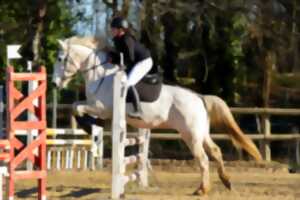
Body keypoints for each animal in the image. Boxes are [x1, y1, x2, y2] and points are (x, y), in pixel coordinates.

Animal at [52, 36, 262, 195]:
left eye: (61, 59)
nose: (54, 84)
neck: (100, 76)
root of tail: (199, 97)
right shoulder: (97, 108)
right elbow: (75, 105)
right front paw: (90, 127)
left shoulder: (101, 108)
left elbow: (77, 108)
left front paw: (88, 126)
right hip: (201, 133)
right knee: (216, 151)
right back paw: (226, 182)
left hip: (190, 135)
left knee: (202, 159)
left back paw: (202, 190)